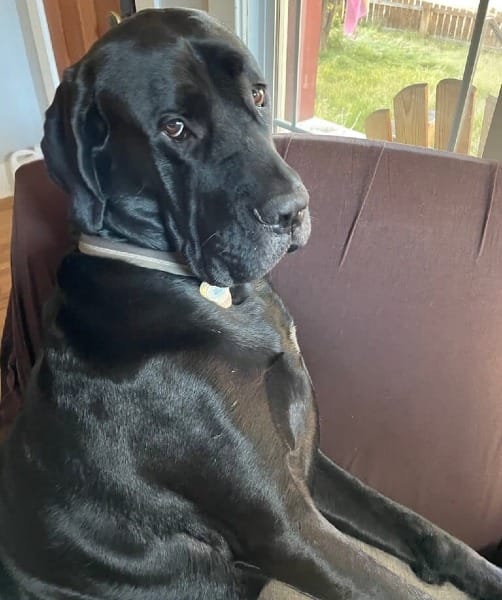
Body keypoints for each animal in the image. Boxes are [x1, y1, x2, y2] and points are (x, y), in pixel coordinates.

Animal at [0, 9, 502, 600]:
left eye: (260, 94)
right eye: (174, 127)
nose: (294, 210)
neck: (218, 298)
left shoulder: (308, 463)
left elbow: (421, 527)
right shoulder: (286, 527)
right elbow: (386, 585)